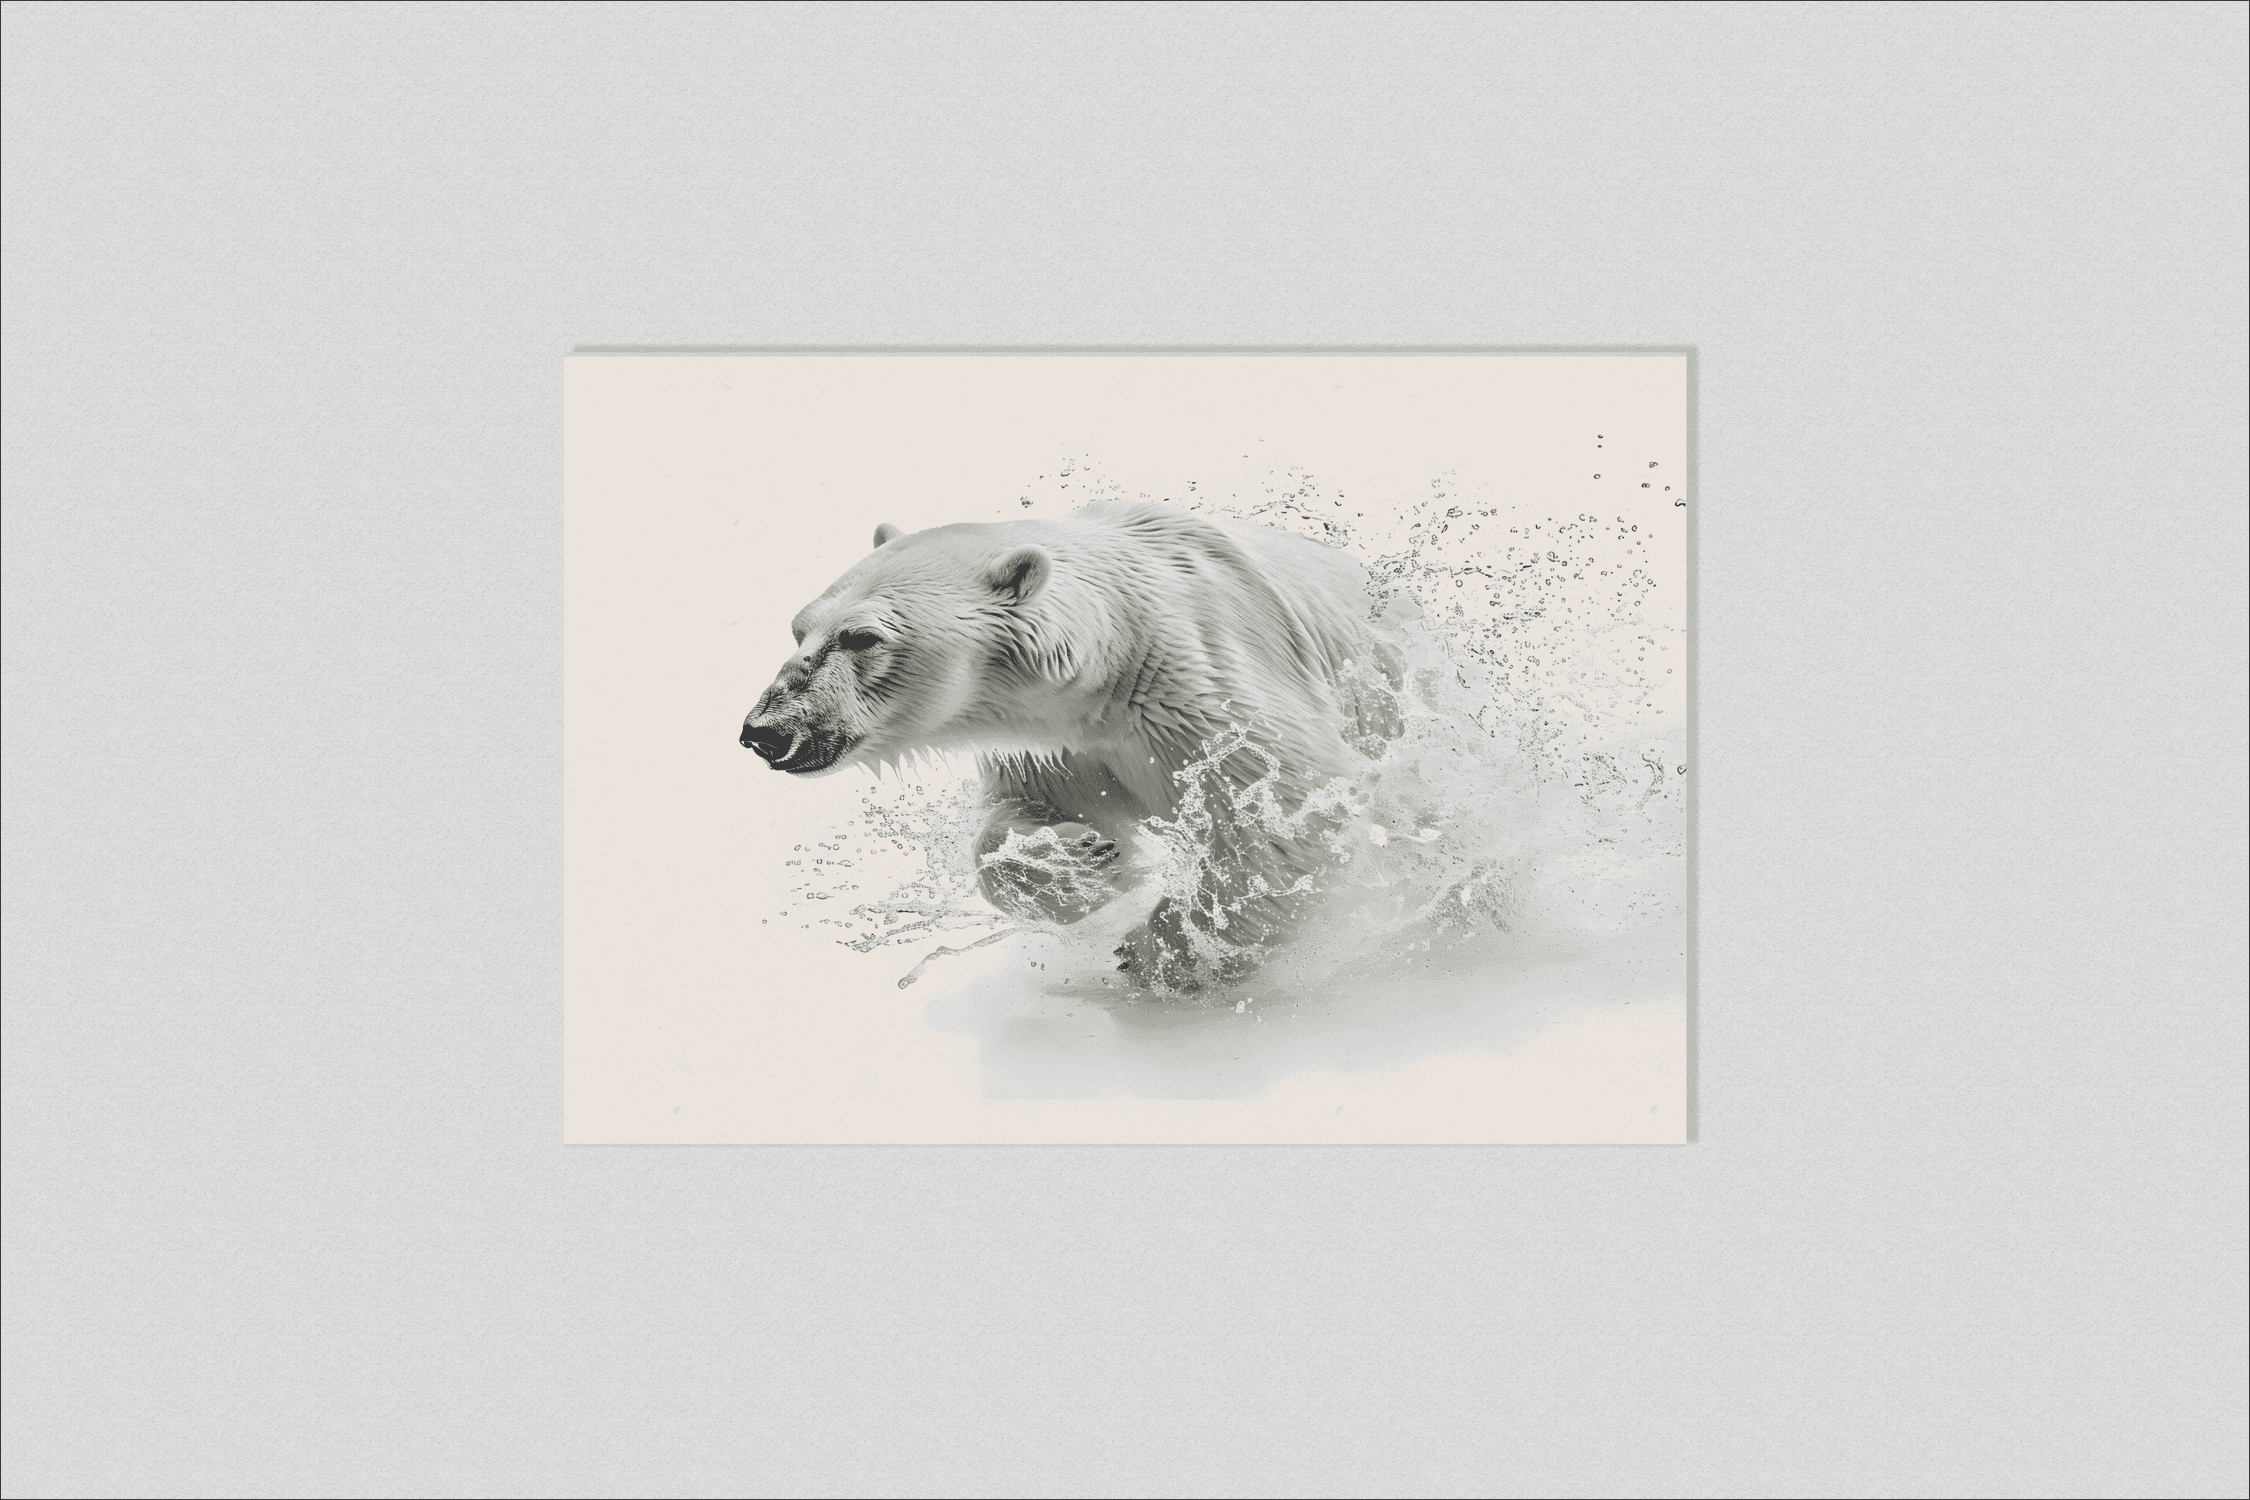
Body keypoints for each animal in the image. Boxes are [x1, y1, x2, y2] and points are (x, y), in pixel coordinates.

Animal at [739, 501, 1402, 987]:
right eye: (799, 628)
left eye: (862, 637)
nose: (764, 731)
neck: (1116, 652)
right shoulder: (1057, 742)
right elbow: (1027, 814)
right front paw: (1082, 860)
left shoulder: (1202, 685)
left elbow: (1285, 802)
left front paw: (1159, 951)